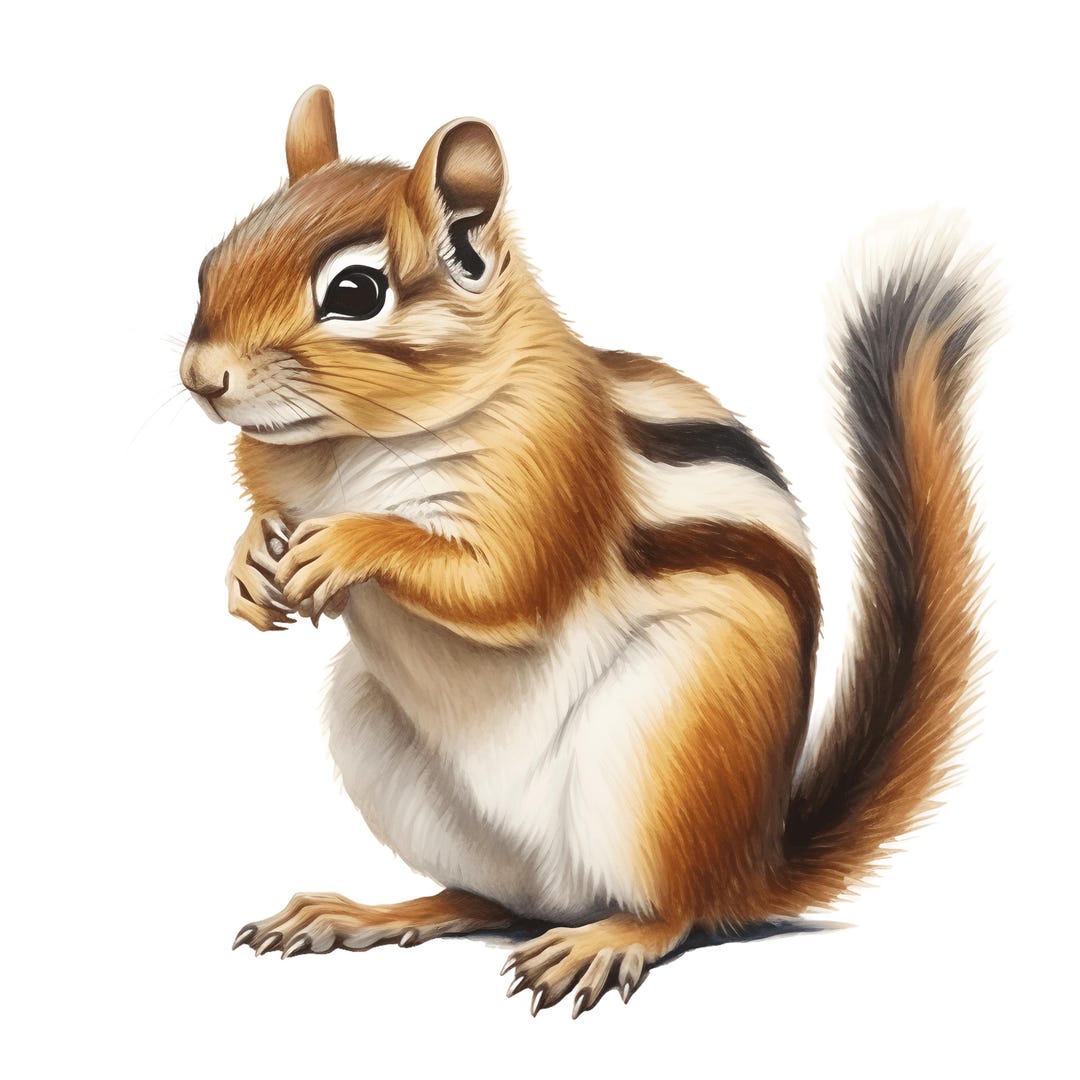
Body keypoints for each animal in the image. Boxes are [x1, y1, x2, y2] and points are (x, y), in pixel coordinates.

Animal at [180, 86, 997, 1018]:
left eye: (355, 291)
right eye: (211, 260)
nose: (200, 377)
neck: (341, 450)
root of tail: (753, 866)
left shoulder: (553, 479)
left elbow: (502, 585)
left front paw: (350, 543)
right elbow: (267, 521)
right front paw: (247, 563)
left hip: (668, 742)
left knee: (675, 911)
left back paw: (605, 942)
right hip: (391, 755)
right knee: (489, 899)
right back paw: (363, 913)